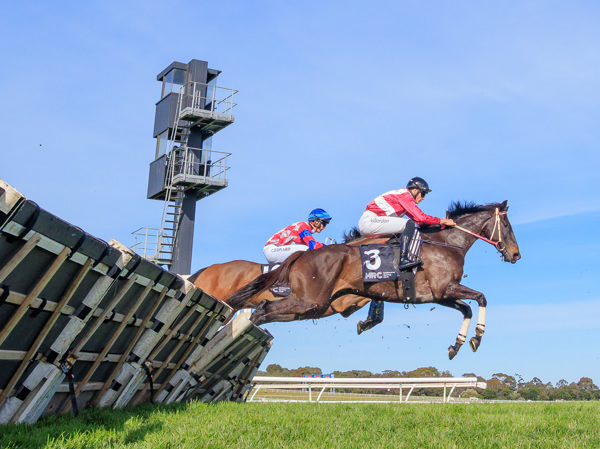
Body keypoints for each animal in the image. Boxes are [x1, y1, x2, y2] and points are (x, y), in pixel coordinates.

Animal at [225, 201, 520, 358]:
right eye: (507, 225)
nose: (516, 254)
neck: (447, 242)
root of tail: (301, 255)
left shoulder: (437, 295)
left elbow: (467, 308)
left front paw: (458, 344)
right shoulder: (445, 288)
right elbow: (481, 297)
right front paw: (478, 336)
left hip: (314, 306)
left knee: (264, 312)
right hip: (310, 301)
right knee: (262, 309)